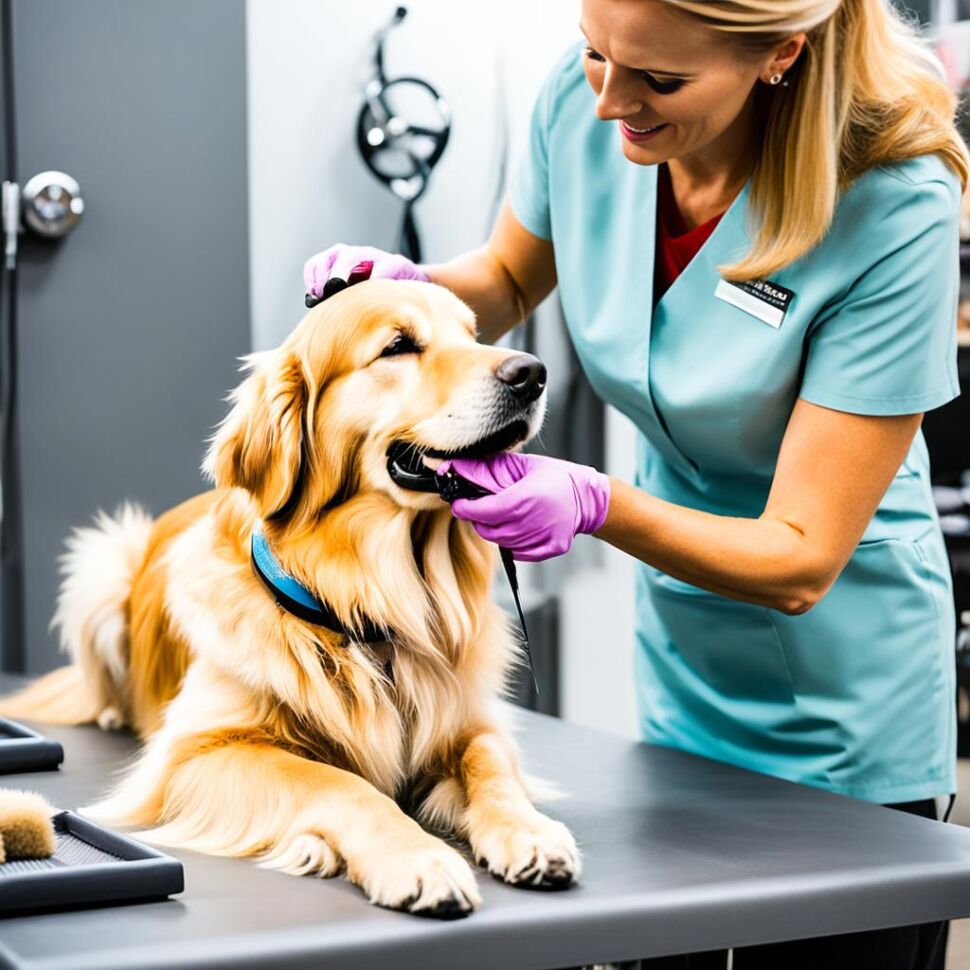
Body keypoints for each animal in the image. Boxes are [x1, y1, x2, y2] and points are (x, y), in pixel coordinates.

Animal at [0, 280, 580, 916]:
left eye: (474, 336)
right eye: (398, 346)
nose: (533, 373)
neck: (370, 603)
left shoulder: (473, 724)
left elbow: (491, 766)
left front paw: (530, 831)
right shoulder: (194, 754)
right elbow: (341, 783)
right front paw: (416, 858)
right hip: (101, 564)